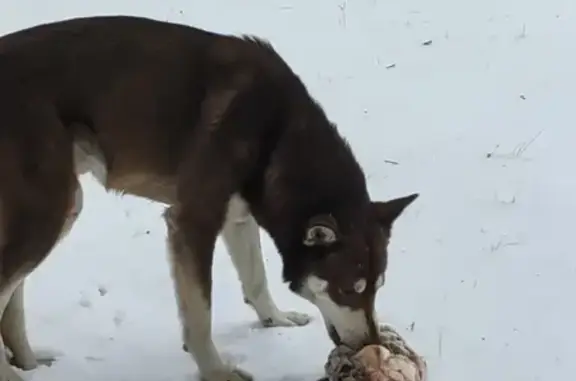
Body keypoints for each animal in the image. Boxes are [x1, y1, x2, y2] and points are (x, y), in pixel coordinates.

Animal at [0, 15, 418, 380]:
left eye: (377, 288)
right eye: (348, 290)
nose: (373, 346)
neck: (276, 134)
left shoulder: (237, 217)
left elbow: (256, 280)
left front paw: (276, 320)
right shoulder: (192, 223)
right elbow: (200, 316)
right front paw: (217, 372)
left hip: (55, 210)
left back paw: (29, 361)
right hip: (47, 213)